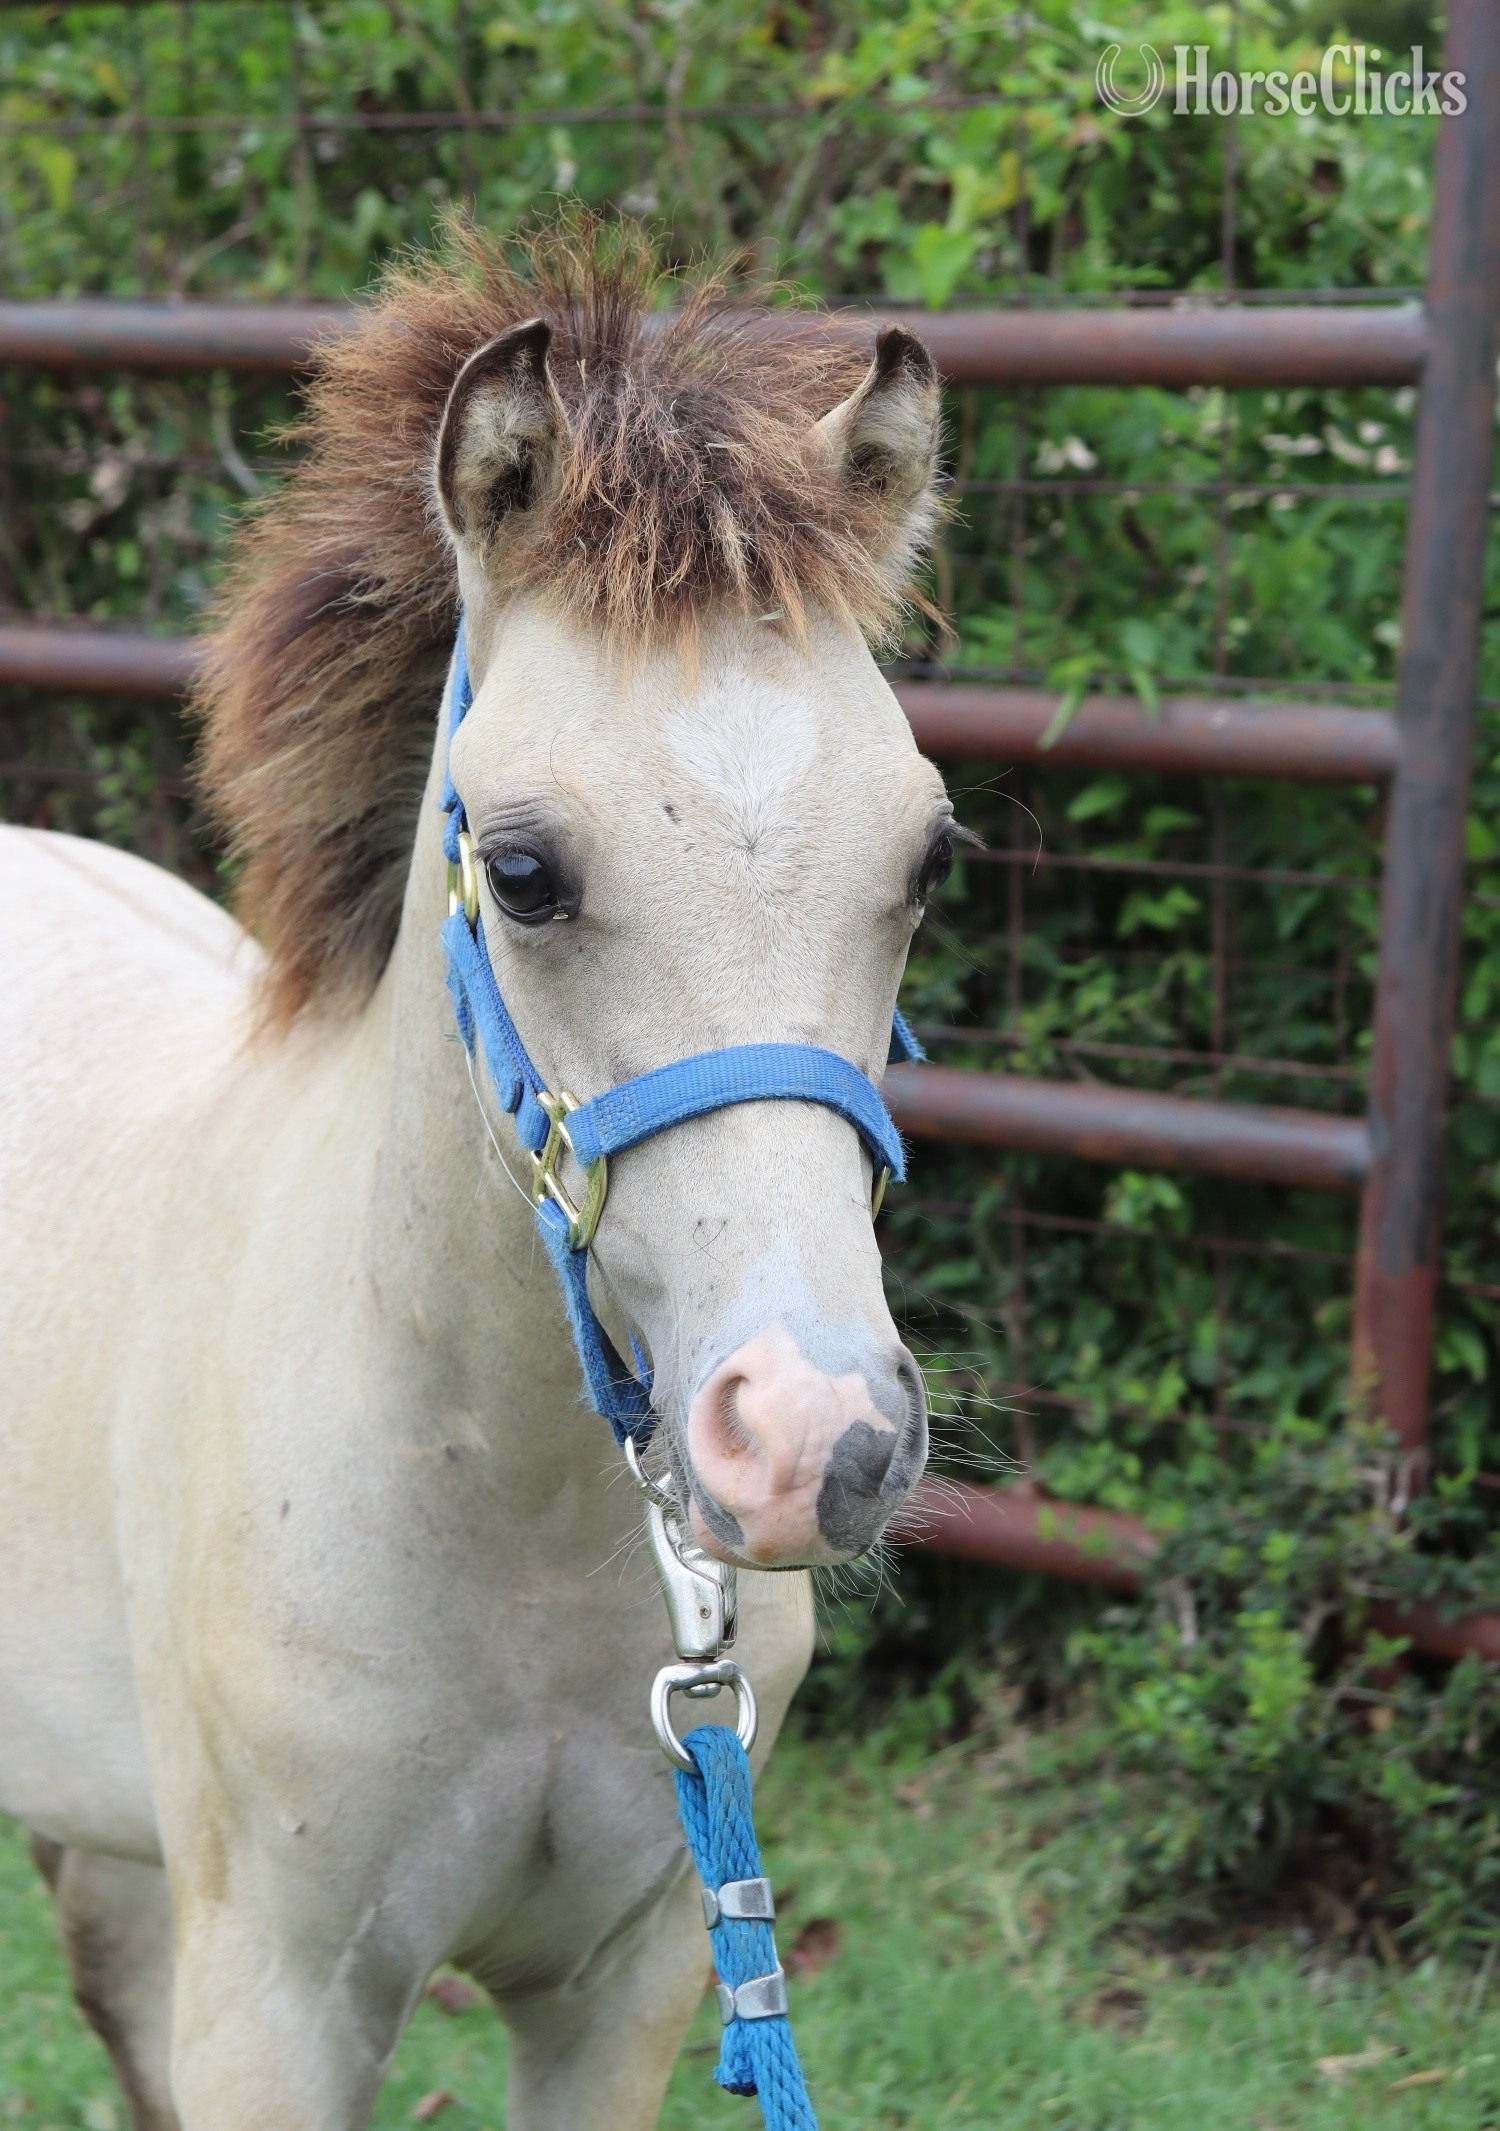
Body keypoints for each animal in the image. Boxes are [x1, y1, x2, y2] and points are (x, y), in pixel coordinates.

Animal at [0, 220, 951, 2130]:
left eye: (926, 859)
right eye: (521, 870)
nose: (816, 1436)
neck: (507, 1529)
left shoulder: (628, 1983)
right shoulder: (278, 2001)